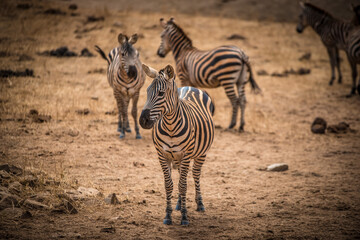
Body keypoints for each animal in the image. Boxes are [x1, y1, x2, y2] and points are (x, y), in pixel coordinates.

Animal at [139, 63, 215, 225]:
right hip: (178, 158)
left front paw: (184, 217)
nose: (142, 121)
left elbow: (183, 185)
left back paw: (199, 203)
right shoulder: (162, 155)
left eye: (161, 93)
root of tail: (190, 87)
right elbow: (169, 185)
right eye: (147, 91)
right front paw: (168, 215)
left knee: (195, 174)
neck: (170, 127)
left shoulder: (186, 155)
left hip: (201, 153)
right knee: (181, 174)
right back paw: (179, 204)